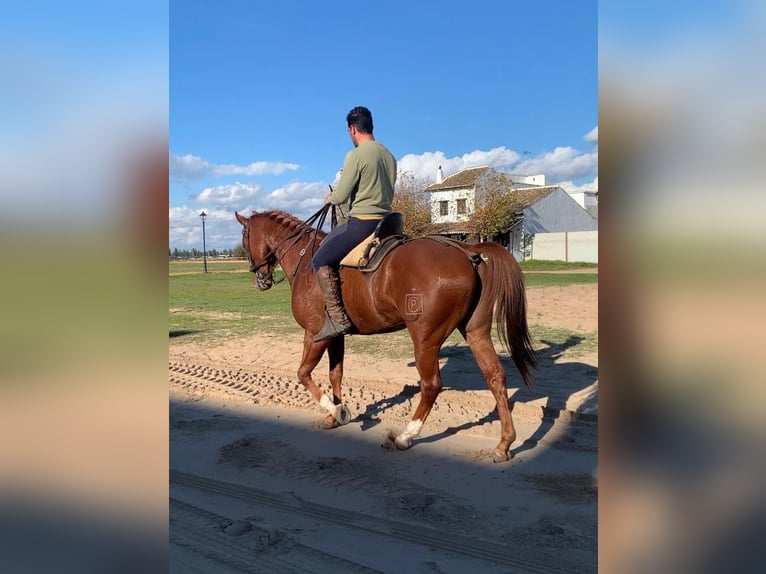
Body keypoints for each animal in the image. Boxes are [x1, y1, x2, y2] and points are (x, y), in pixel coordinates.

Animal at [237, 209, 536, 466]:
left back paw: (405, 436)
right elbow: (336, 374)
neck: (305, 259)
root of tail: (467, 251)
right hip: (475, 332)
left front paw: (335, 411)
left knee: (431, 385)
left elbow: (303, 373)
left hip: (425, 339)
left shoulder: (314, 335)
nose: (259, 279)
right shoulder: (335, 336)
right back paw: (504, 443)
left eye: (244, 236)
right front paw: (336, 413)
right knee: (495, 377)